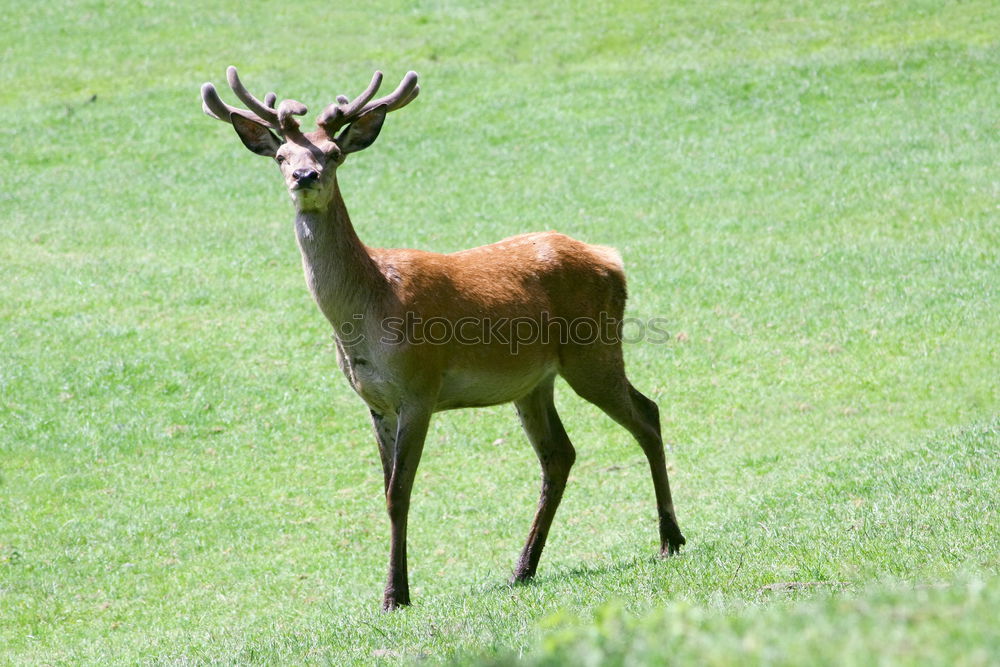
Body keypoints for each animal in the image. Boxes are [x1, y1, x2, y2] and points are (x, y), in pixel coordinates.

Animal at [201, 66, 688, 612]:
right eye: (283, 156)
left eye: (333, 153)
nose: (305, 178)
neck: (366, 314)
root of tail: (612, 259)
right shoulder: (375, 403)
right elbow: (385, 490)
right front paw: (397, 589)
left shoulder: (420, 387)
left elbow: (399, 493)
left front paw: (395, 594)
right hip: (533, 382)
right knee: (560, 454)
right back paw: (523, 568)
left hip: (594, 351)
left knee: (647, 414)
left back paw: (670, 538)